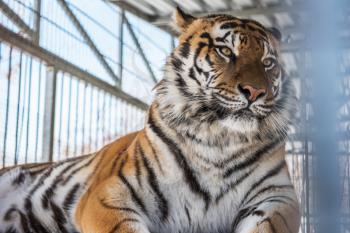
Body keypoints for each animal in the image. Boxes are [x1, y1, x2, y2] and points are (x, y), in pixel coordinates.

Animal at [0, 7, 300, 233]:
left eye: (268, 63)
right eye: (225, 51)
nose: (256, 91)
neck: (219, 139)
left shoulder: (277, 195)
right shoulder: (108, 194)